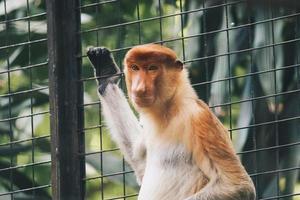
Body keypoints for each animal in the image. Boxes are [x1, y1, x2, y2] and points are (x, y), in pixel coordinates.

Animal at [86, 44, 255, 200]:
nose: (139, 88)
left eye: (152, 68)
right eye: (135, 68)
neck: (170, 108)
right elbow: (140, 162)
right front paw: (106, 74)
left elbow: (236, 185)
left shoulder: (199, 117)